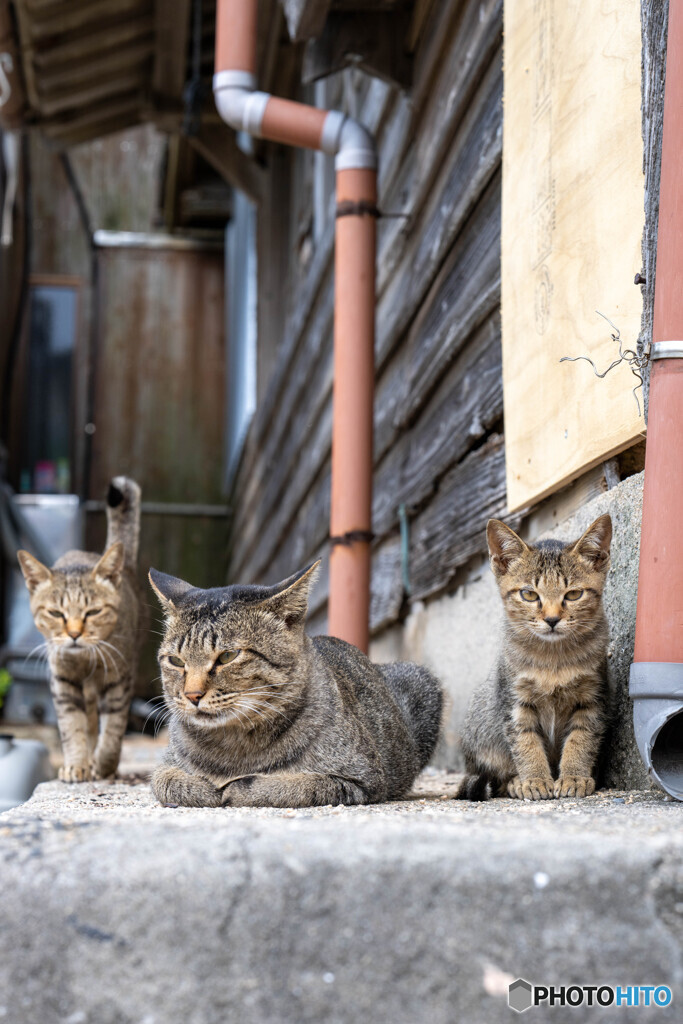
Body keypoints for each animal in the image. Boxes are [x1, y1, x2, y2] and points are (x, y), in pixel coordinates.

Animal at [18, 475, 143, 778]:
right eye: (56, 613)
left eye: (93, 611)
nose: (74, 634)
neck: (85, 661)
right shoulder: (63, 681)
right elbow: (71, 727)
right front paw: (76, 764)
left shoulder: (119, 680)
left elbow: (113, 731)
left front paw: (104, 765)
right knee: (88, 721)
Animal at [148, 561, 444, 806]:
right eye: (175, 660)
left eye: (228, 656)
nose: (192, 695)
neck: (232, 746)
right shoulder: (164, 767)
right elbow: (166, 781)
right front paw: (207, 788)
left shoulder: (361, 779)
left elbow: (291, 785)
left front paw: (234, 789)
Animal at [456, 516, 610, 802]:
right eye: (528, 594)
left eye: (573, 594)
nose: (551, 619)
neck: (553, 657)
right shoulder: (514, 702)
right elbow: (525, 743)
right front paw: (535, 780)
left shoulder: (592, 698)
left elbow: (581, 739)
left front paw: (574, 776)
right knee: (497, 777)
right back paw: (516, 781)